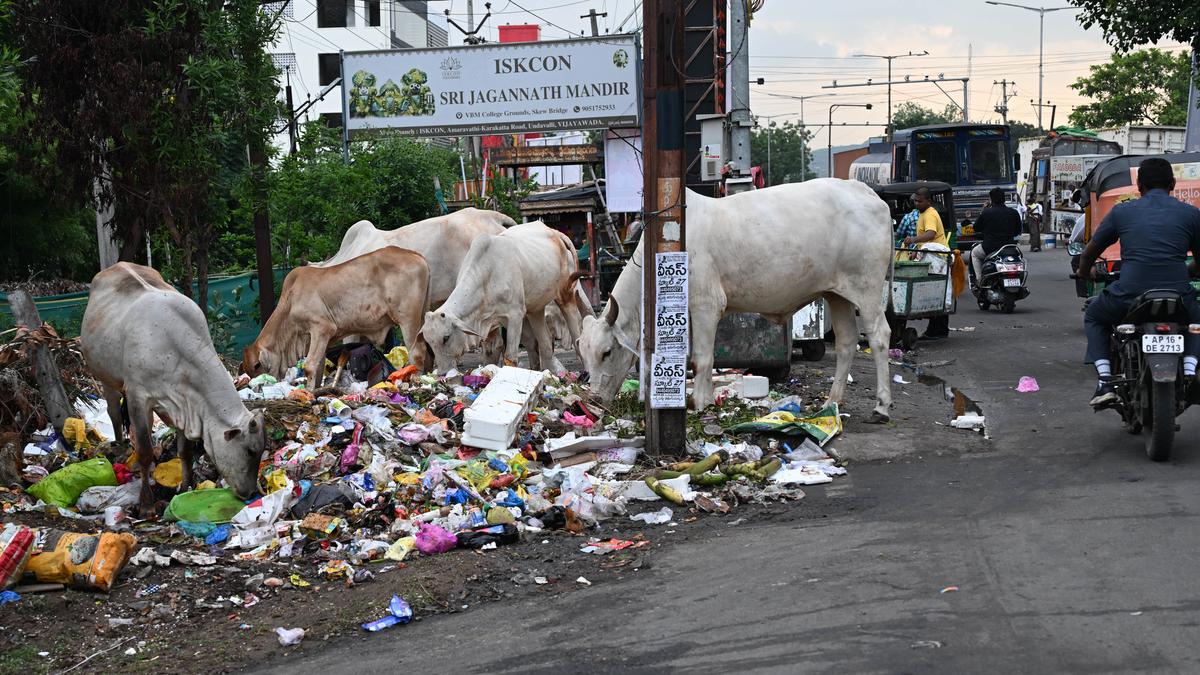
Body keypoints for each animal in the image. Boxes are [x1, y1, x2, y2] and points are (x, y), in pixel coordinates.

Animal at [81, 260, 266, 511]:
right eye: (249, 451)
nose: (250, 493)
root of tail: (117, 265)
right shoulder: (138, 395)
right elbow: (145, 451)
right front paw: (146, 503)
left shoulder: (184, 402)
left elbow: (184, 451)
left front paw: (185, 488)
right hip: (104, 375)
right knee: (115, 415)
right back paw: (120, 448)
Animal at [422, 219, 585, 372]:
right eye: (428, 342)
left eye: (446, 337)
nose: (442, 373)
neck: (487, 274)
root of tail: (555, 232)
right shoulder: (495, 319)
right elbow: (502, 349)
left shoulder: (515, 315)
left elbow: (511, 356)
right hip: (535, 308)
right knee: (545, 342)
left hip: (566, 295)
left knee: (576, 330)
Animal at [576, 178, 897, 420]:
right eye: (583, 354)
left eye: (606, 352)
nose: (594, 401)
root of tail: (866, 192)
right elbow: (696, 360)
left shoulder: (706, 304)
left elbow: (702, 358)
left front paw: (699, 403)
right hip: (836, 294)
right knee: (846, 341)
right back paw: (832, 402)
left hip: (866, 288)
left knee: (879, 335)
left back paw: (881, 406)